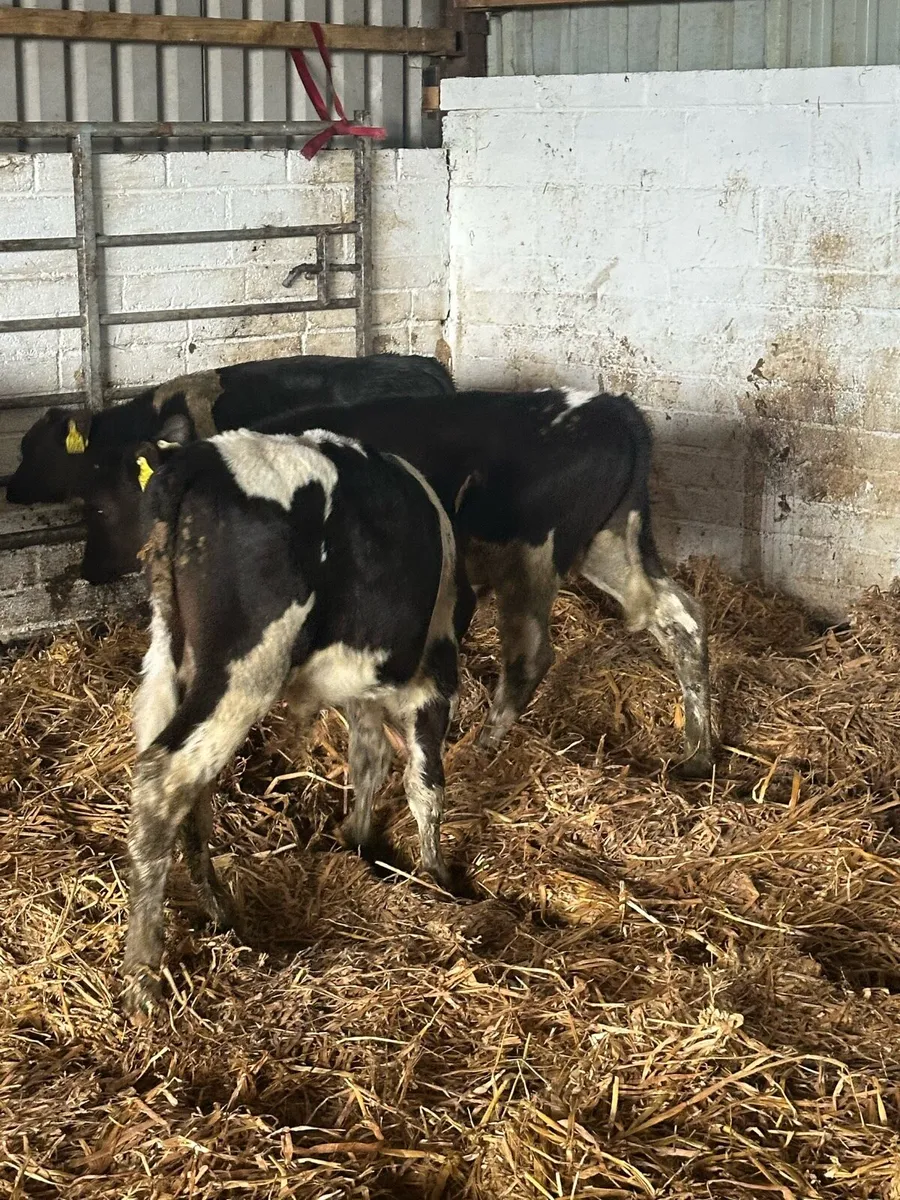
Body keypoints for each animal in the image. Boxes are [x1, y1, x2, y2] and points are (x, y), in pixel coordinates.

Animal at [83, 388, 714, 778]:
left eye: (104, 506)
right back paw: (700, 752)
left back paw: (482, 747)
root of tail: (612, 406)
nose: (88, 569)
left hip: (534, 553)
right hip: (609, 543)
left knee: (532, 654)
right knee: (681, 617)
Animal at [121, 427, 460, 1019]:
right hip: (244, 672)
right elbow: (425, 781)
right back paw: (144, 975)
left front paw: (358, 838)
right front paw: (435, 875)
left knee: (183, 787)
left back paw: (219, 911)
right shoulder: (432, 679)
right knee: (166, 779)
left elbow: (369, 761)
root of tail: (196, 460)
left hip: (168, 662)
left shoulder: (362, 686)